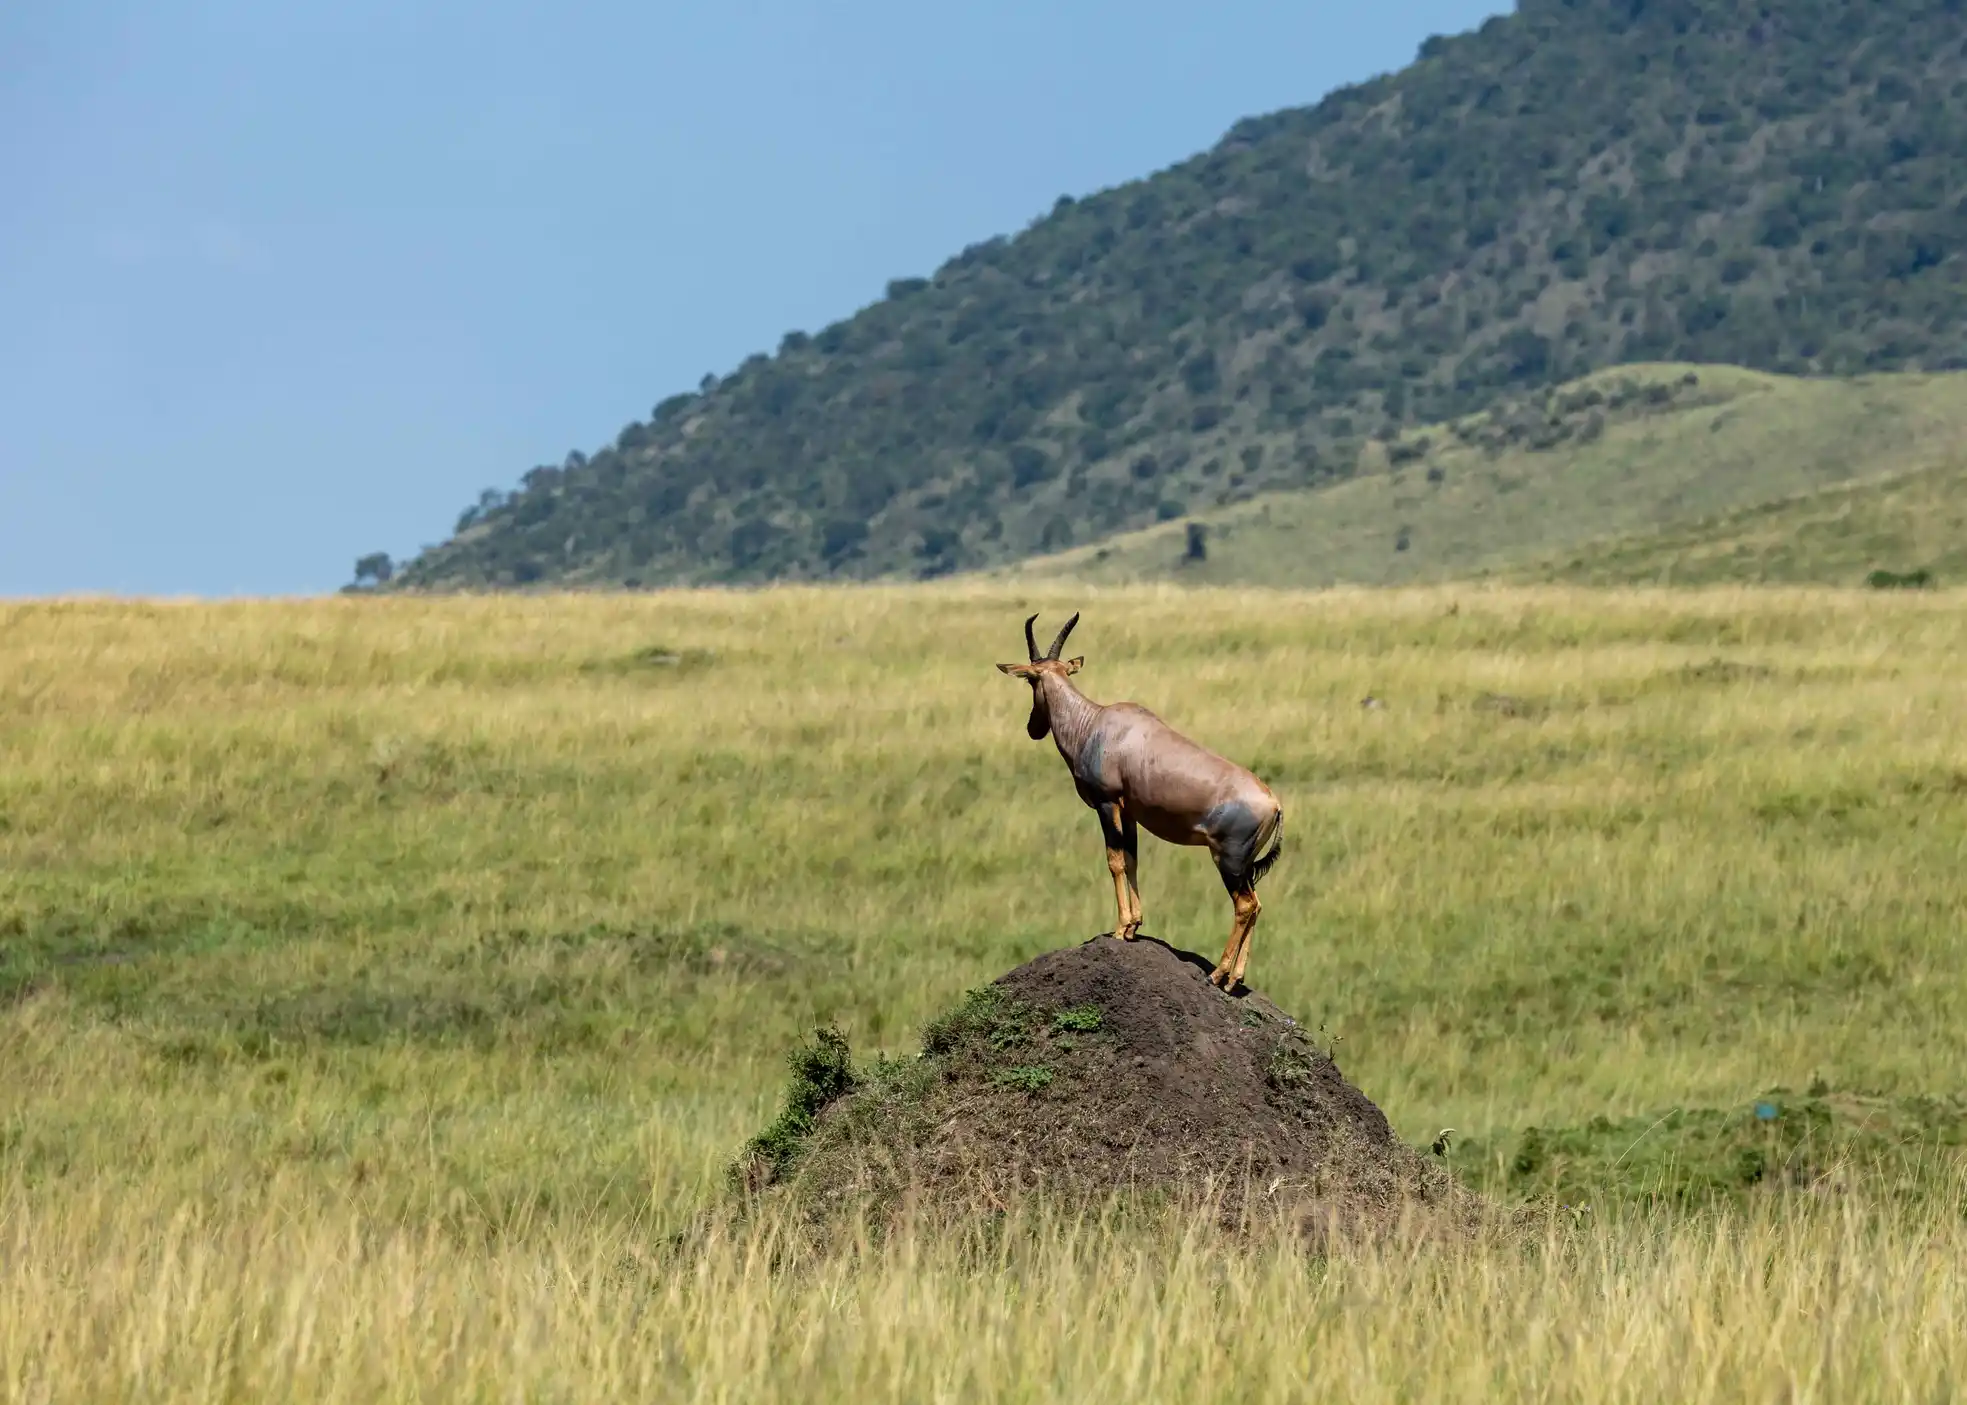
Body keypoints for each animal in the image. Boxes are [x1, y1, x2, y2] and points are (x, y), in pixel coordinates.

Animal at [991, 610, 1282, 983]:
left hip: (1228, 860)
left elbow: (1114, 860)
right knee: (1256, 904)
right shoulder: (1128, 811)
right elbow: (1131, 859)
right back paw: (1236, 978)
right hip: (1244, 865)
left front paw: (1120, 929)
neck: (1096, 723)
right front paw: (1134, 926)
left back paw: (1218, 974)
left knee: (1245, 905)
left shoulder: (1106, 804)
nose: (1033, 728)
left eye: (1030, 681)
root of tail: (1274, 803)